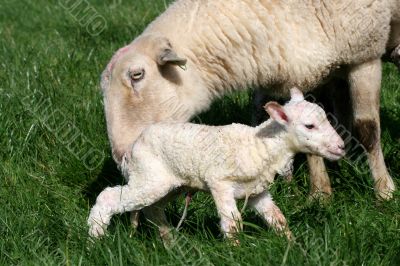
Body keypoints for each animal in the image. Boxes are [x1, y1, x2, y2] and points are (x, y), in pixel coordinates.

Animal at [89, 88, 346, 240]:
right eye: (309, 126)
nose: (341, 146)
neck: (260, 146)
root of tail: (132, 148)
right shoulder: (220, 181)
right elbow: (233, 223)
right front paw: (235, 251)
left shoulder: (256, 191)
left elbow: (277, 218)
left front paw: (291, 245)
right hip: (149, 177)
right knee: (108, 197)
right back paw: (95, 239)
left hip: (171, 184)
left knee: (153, 209)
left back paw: (170, 242)